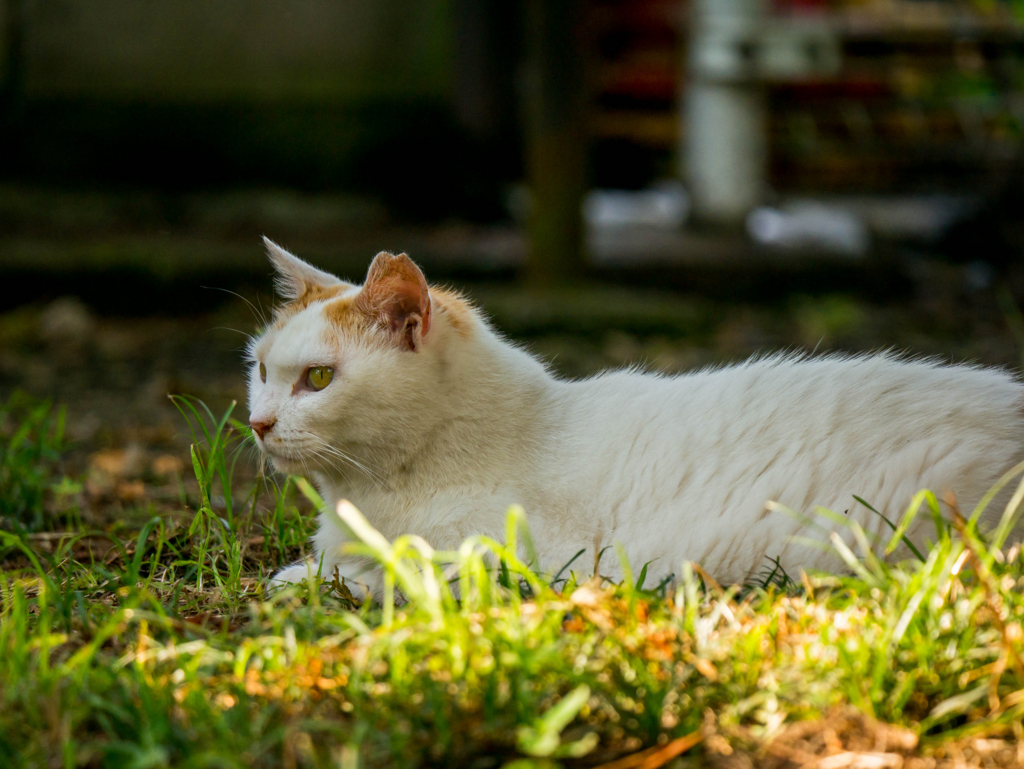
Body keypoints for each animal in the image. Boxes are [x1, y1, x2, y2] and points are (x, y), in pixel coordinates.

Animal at [247, 239, 1024, 593]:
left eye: (318, 378)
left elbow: (395, 568)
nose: (257, 424)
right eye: (259, 369)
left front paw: (305, 579)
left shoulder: (534, 563)